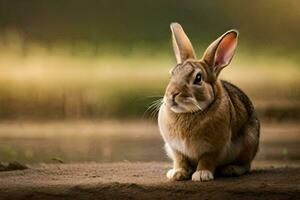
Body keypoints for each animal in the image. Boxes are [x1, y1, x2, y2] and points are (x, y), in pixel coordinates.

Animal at [158, 22, 258, 182]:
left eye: (198, 78)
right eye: (171, 74)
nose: (172, 95)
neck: (189, 113)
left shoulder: (213, 148)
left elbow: (207, 160)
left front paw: (201, 175)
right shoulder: (176, 148)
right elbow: (180, 160)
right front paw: (177, 174)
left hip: (249, 142)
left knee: (246, 165)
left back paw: (231, 169)